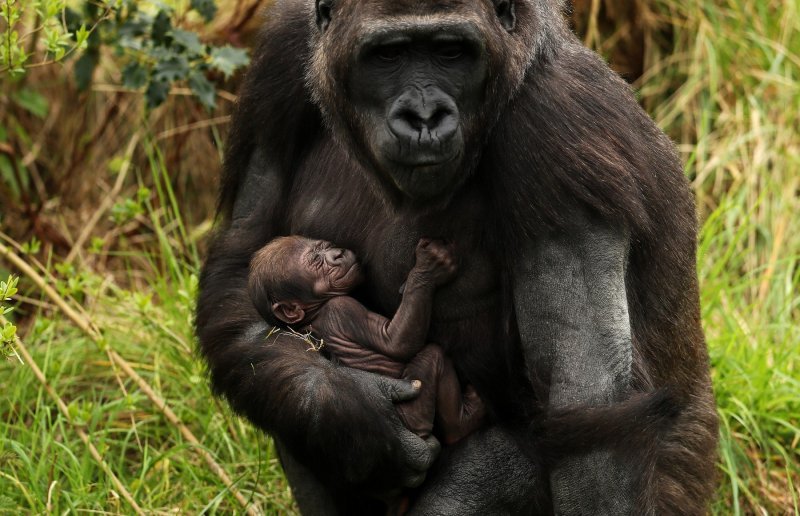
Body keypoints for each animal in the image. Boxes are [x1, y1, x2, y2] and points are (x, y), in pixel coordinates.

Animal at [247, 237, 484, 444]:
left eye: (326, 247)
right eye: (316, 261)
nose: (338, 253)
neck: (314, 313)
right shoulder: (343, 310)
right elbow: (396, 343)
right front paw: (428, 269)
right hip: (413, 416)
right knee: (433, 356)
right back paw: (462, 424)